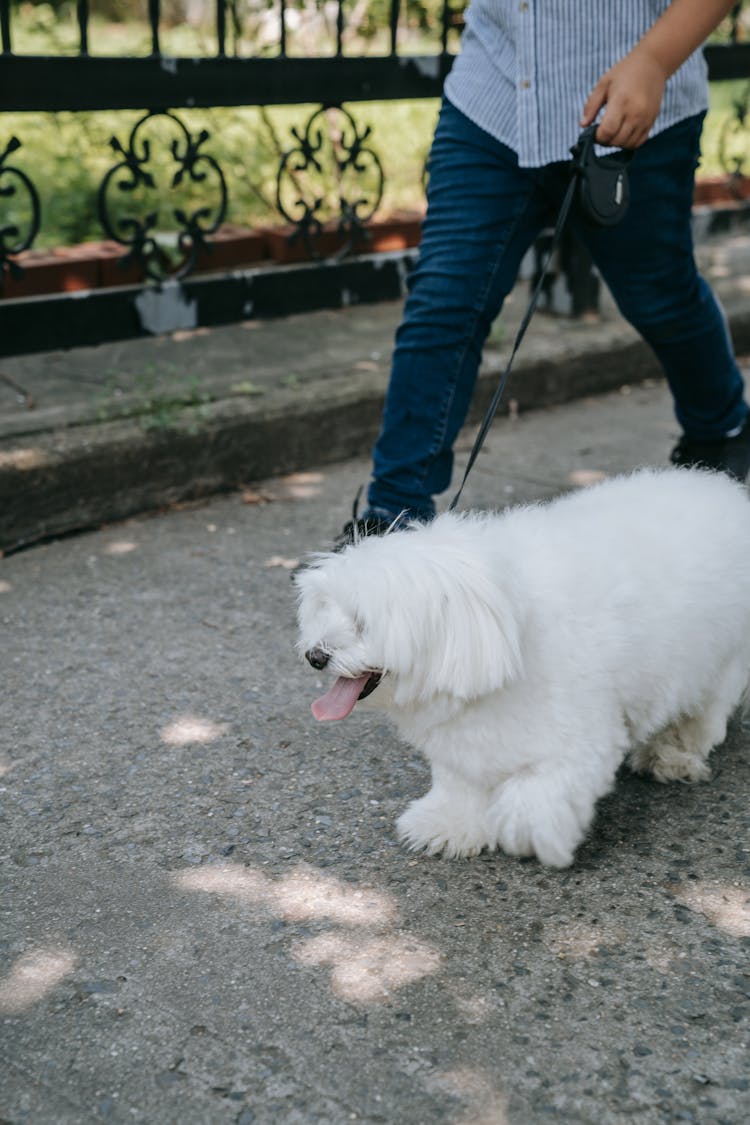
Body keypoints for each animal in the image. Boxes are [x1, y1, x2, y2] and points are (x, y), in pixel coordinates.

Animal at [292, 468, 750, 868]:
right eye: (324, 608)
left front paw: (529, 831)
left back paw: (672, 754)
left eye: (362, 621)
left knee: (703, 716)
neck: (502, 625)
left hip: (719, 661)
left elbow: (536, 793)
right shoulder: (466, 736)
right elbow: (461, 783)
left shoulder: (578, 739)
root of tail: (726, 490)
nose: (315, 655)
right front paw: (449, 825)